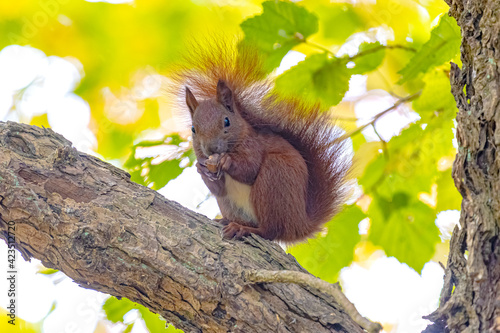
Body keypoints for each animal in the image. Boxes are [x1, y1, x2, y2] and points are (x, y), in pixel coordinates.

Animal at [174, 43, 350, 241]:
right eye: (193, 129)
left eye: (226, 121)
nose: (211, 149)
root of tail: (299, 225)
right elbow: (218, 189)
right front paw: (201, 168)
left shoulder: (254, 146)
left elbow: (250, 169)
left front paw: (227, 161)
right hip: (231, 205)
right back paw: (228, 221)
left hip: (274, 179)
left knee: (270, 231)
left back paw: (244, 229)